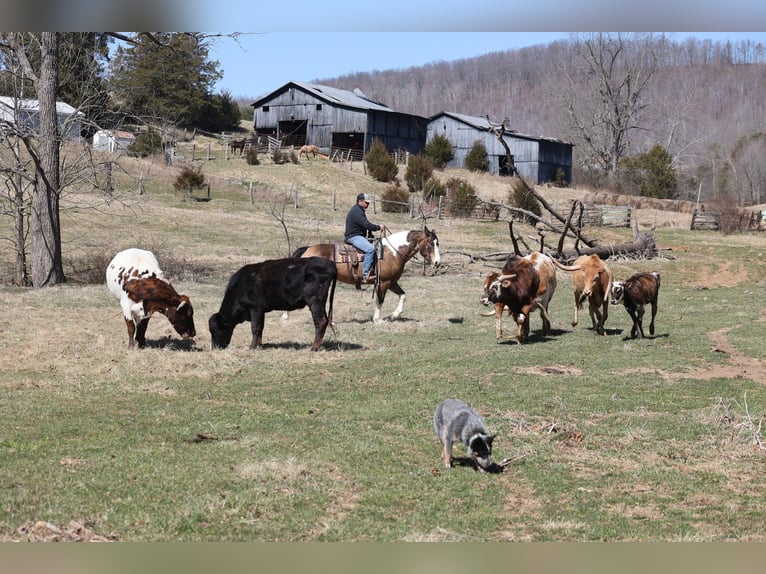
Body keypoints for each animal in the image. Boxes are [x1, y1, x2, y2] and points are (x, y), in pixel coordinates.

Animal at [293, 228, 441, 323]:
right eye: (430, 244)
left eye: (437, 243)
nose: (437, 263)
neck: (393, 252)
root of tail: (307, 249)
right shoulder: (384, 282)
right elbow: (380, 300)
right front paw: (378, 320)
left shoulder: (392, 282)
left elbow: (403, 295)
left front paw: (394, 315)